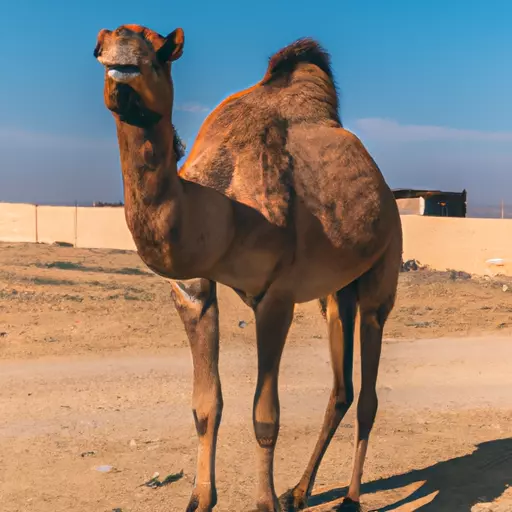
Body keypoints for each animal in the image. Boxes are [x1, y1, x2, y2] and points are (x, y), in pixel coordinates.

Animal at [94, 22, 402, 510]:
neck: (225, 211)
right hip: (336, 293)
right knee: (341, 389)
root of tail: (390, 195)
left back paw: (350, 498)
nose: (122, 55)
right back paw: (299, 490)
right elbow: (206, 406)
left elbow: (265, 416)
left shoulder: (276, 297)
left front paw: (264, 502)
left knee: (369, 393)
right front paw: (201, 499)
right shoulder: (193, 289)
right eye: (98, 47)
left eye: (161, 53)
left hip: (383, 273)